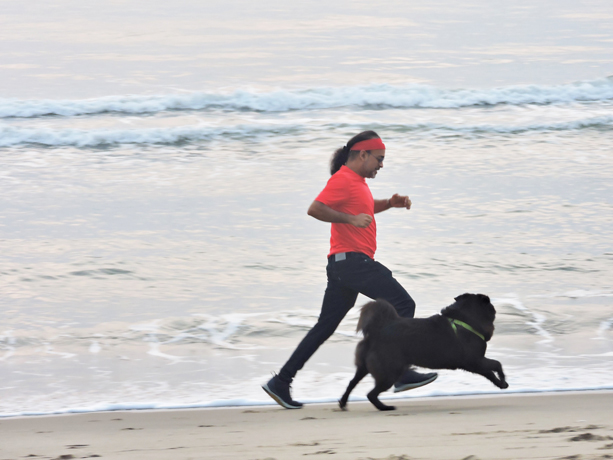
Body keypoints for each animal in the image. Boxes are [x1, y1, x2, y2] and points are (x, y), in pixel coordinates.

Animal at [339, 293, 508, 411]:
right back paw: (384, 408)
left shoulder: (476, 364)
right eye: (489, 304)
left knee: (352, 383)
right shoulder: (476, 361)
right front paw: (503, 381)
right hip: (389, 372)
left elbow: (490, 373)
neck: (465, 321)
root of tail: (376, 332)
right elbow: (497, 364)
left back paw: (343, 403)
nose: (494, 307)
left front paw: (500, 384)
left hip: (364, 368)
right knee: (371, 394)